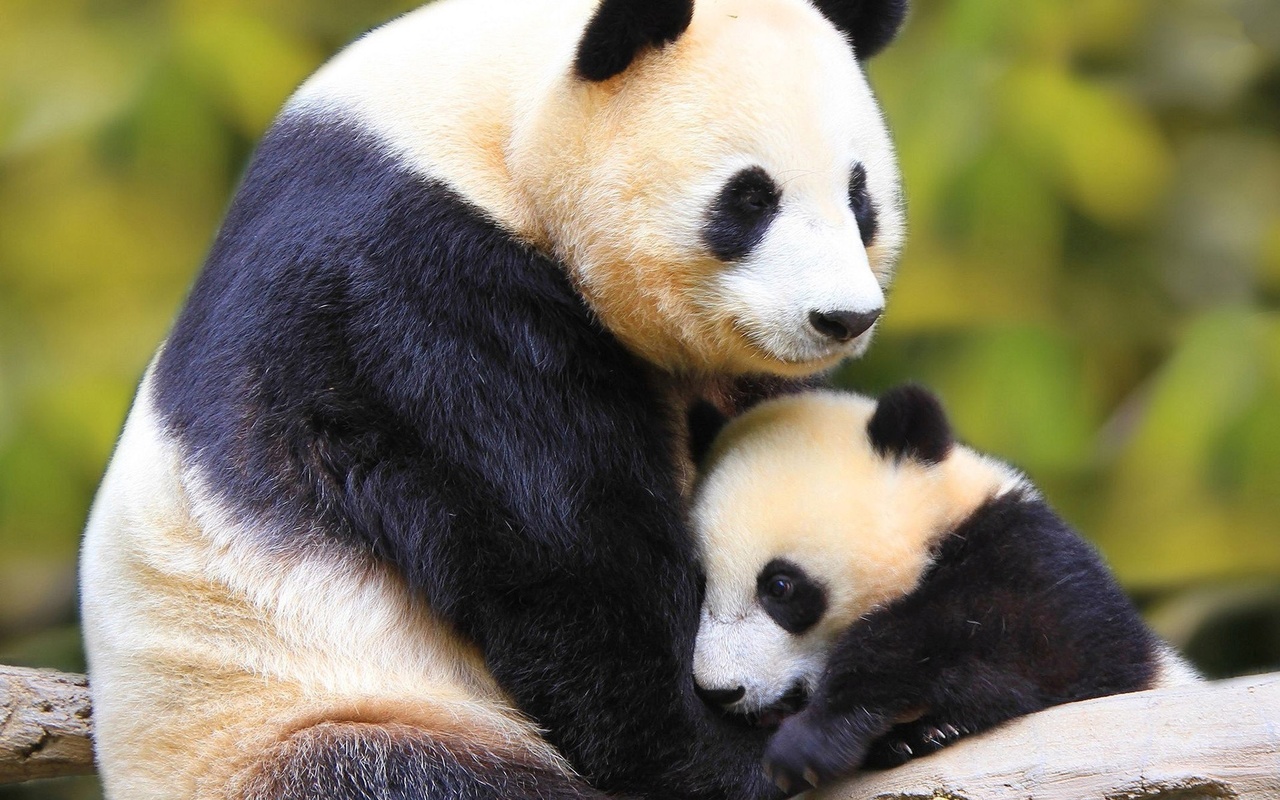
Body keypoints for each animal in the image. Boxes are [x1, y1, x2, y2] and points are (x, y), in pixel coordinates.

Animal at [77, 1, 911, 798]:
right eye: (749, 199)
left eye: (859, 194)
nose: (842, 317)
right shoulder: (412, 288)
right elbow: (566, 557)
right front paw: (748, 751)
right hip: (304, 718)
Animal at [691, 386, 1198, 793]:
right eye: (702, 583)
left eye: (779, 587)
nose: (720, 690)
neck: (939, 524)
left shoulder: (1037, 565)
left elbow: (1023, 647)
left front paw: (813, 740)